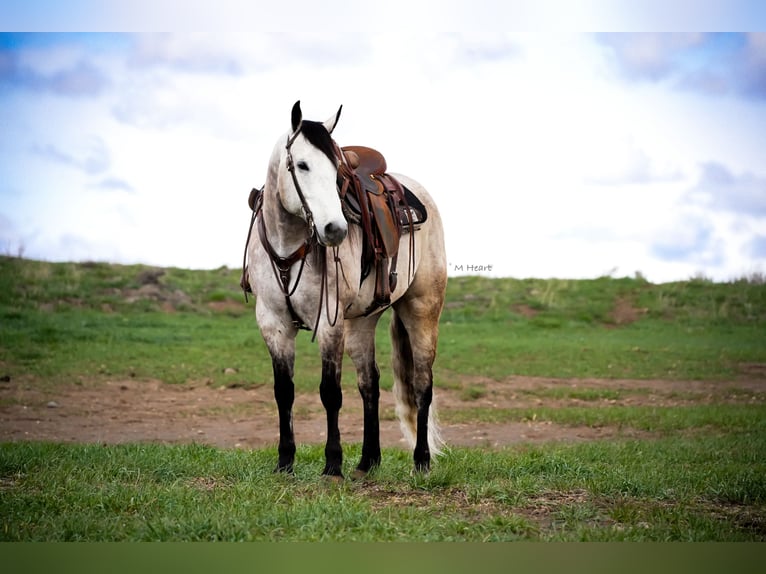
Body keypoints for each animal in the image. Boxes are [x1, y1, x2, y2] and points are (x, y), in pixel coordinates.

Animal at [243, 101, 447, 478]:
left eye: (336, 169)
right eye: (302, 165)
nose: (334, 229)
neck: (288, 246)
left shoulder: (330, 322)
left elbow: (330, 392)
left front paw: (332, 464)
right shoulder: (272, 322)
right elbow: (284, 391)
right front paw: (285, 461)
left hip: (422, 309)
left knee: (422, 383)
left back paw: (422, 460)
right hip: (362, 323)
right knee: (370, 384)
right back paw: (368, 461)